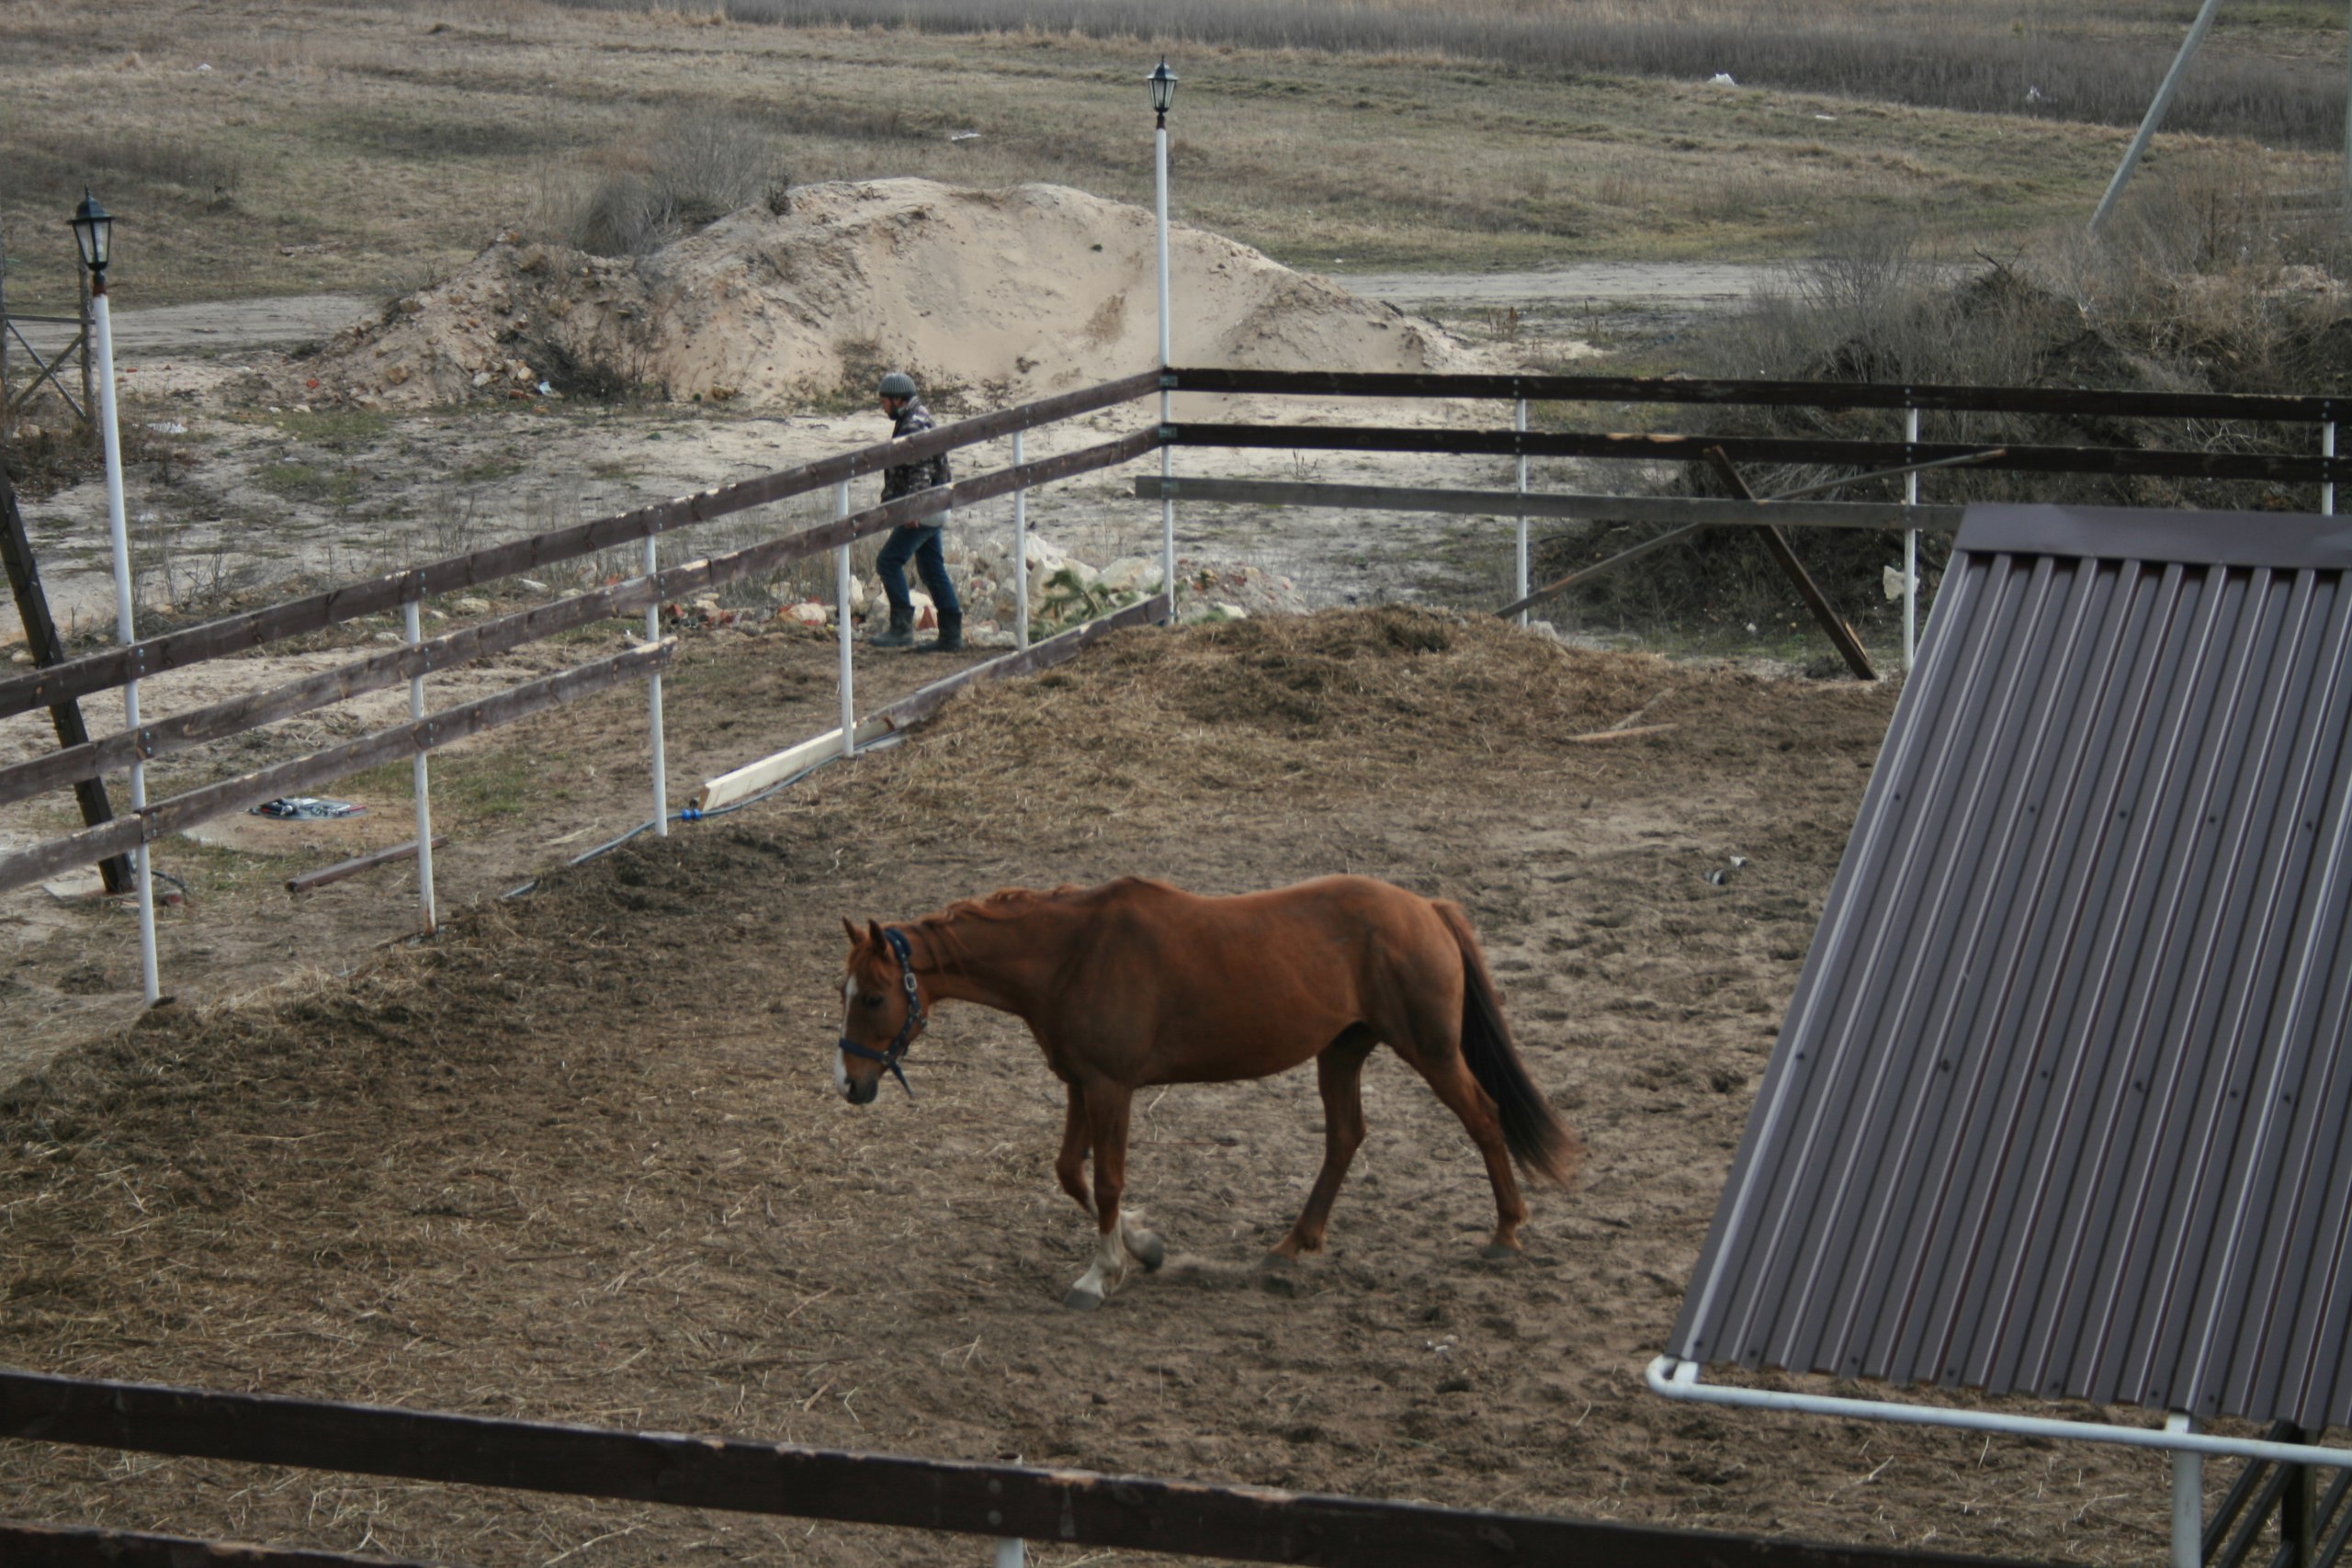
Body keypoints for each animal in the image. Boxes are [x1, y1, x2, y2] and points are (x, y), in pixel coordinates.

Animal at [837, 879, 1589, 1306]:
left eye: (871, 997)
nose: (851, 1083)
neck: (1072, 952)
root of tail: (1425, 909)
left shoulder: (1110, 1088)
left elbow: (1105, 1181)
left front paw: (1100, 1273)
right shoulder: (1082, 1084)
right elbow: (1070, 1172)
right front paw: (1144, 1247)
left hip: (1429, 1050)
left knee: (1485, 1118)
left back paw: (1506, 1232)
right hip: (1340, 1052)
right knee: (1345, 1138)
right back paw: (1293, 1243)